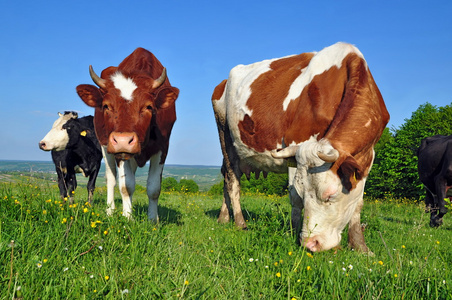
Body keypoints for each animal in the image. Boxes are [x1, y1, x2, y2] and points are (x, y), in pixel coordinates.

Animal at [75, 47, 178, 220]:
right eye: (106, 106)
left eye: (149, 106)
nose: (123, 140)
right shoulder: (118, 151)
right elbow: (126, 185)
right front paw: (128, 217)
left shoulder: (163, 146)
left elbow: (154, 188)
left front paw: (153, 219)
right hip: (106, 146)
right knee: (111, 179)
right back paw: (111, 210)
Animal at [212, 42, 388, 252]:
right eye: (304, 193)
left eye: (330, 195)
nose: (310, 243)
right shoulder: (295, 145)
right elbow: (294, 197)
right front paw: (294, 233)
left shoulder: (367, 155)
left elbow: (357, 202)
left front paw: (360, 247)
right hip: (225, 136)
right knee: (232, 181)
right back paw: (240, 223)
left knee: (225, 178)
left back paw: (223, 218)